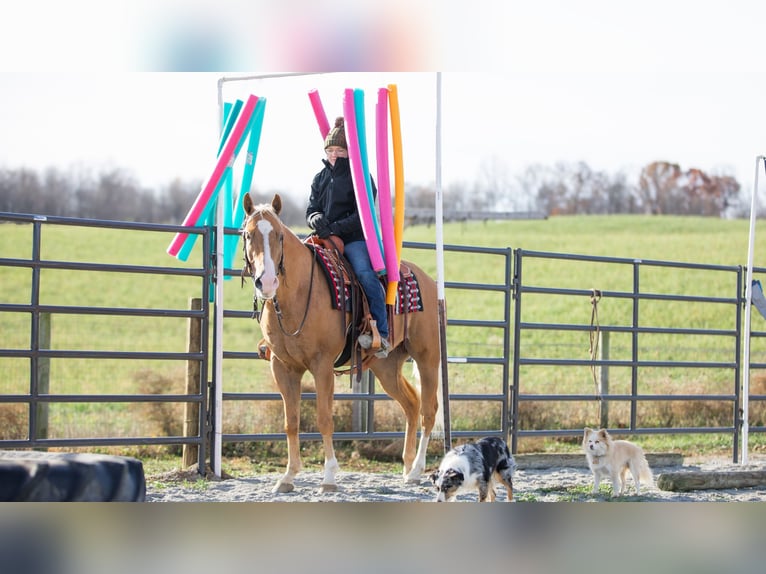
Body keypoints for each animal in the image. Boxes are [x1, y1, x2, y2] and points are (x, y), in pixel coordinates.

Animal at [243, 195, 440, 496]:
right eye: (247, 234)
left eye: (279, 235)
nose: (266, 282)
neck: (299, 293)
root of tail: (428, 282)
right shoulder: (283, 367)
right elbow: (291, 422)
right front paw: (288, 476)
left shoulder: (321, 365)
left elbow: (325, 418)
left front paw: (328, 477)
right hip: (387, 366)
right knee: (411, 404)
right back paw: (408, 470)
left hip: (427, 357)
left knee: (429, 410)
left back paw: (417, 468)